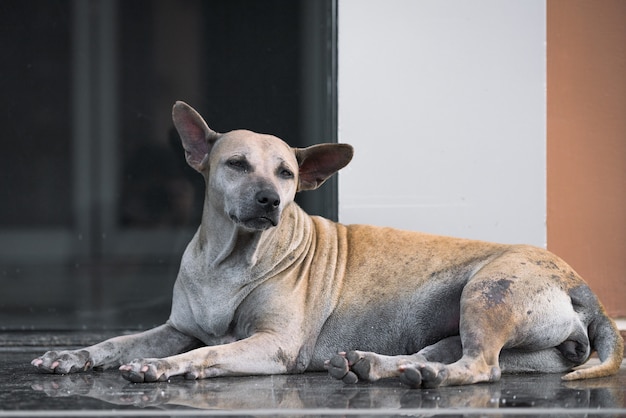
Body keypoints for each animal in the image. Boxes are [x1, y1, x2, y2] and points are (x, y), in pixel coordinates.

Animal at [33, 101, 620, 388]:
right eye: (236, 163)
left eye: (287, 173)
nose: (270, 200)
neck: (231, 260)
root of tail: (583, 288)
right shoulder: (176, 327)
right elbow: (118, 342)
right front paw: (74, 354)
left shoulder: (272, 345)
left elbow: (210, 351)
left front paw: (163, 368)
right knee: (448, 355)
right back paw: (379, 367)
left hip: (486, 293)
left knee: (482, 367)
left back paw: (422, 375)